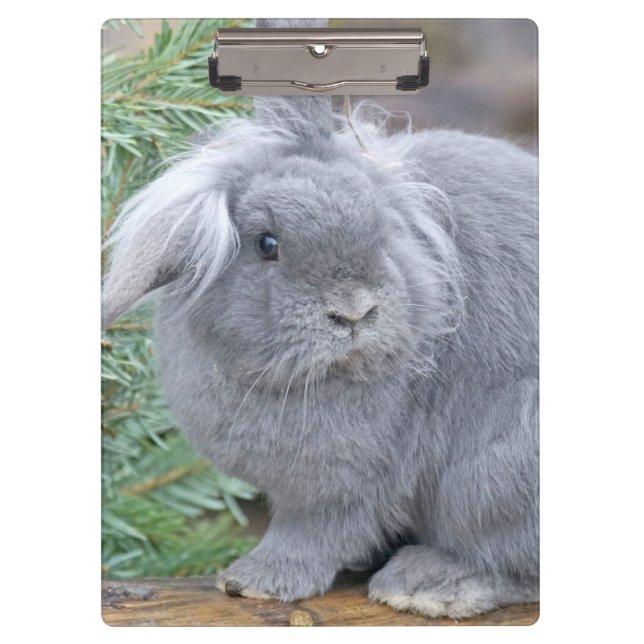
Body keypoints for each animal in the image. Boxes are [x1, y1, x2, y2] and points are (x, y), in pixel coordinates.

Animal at [102, 90, 538, 618]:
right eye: (267, 243)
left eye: (382, 229)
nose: (354, 312)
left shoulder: (340, 487)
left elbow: (313, 534)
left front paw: (256, 581)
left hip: (493, 476)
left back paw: (428, 586)